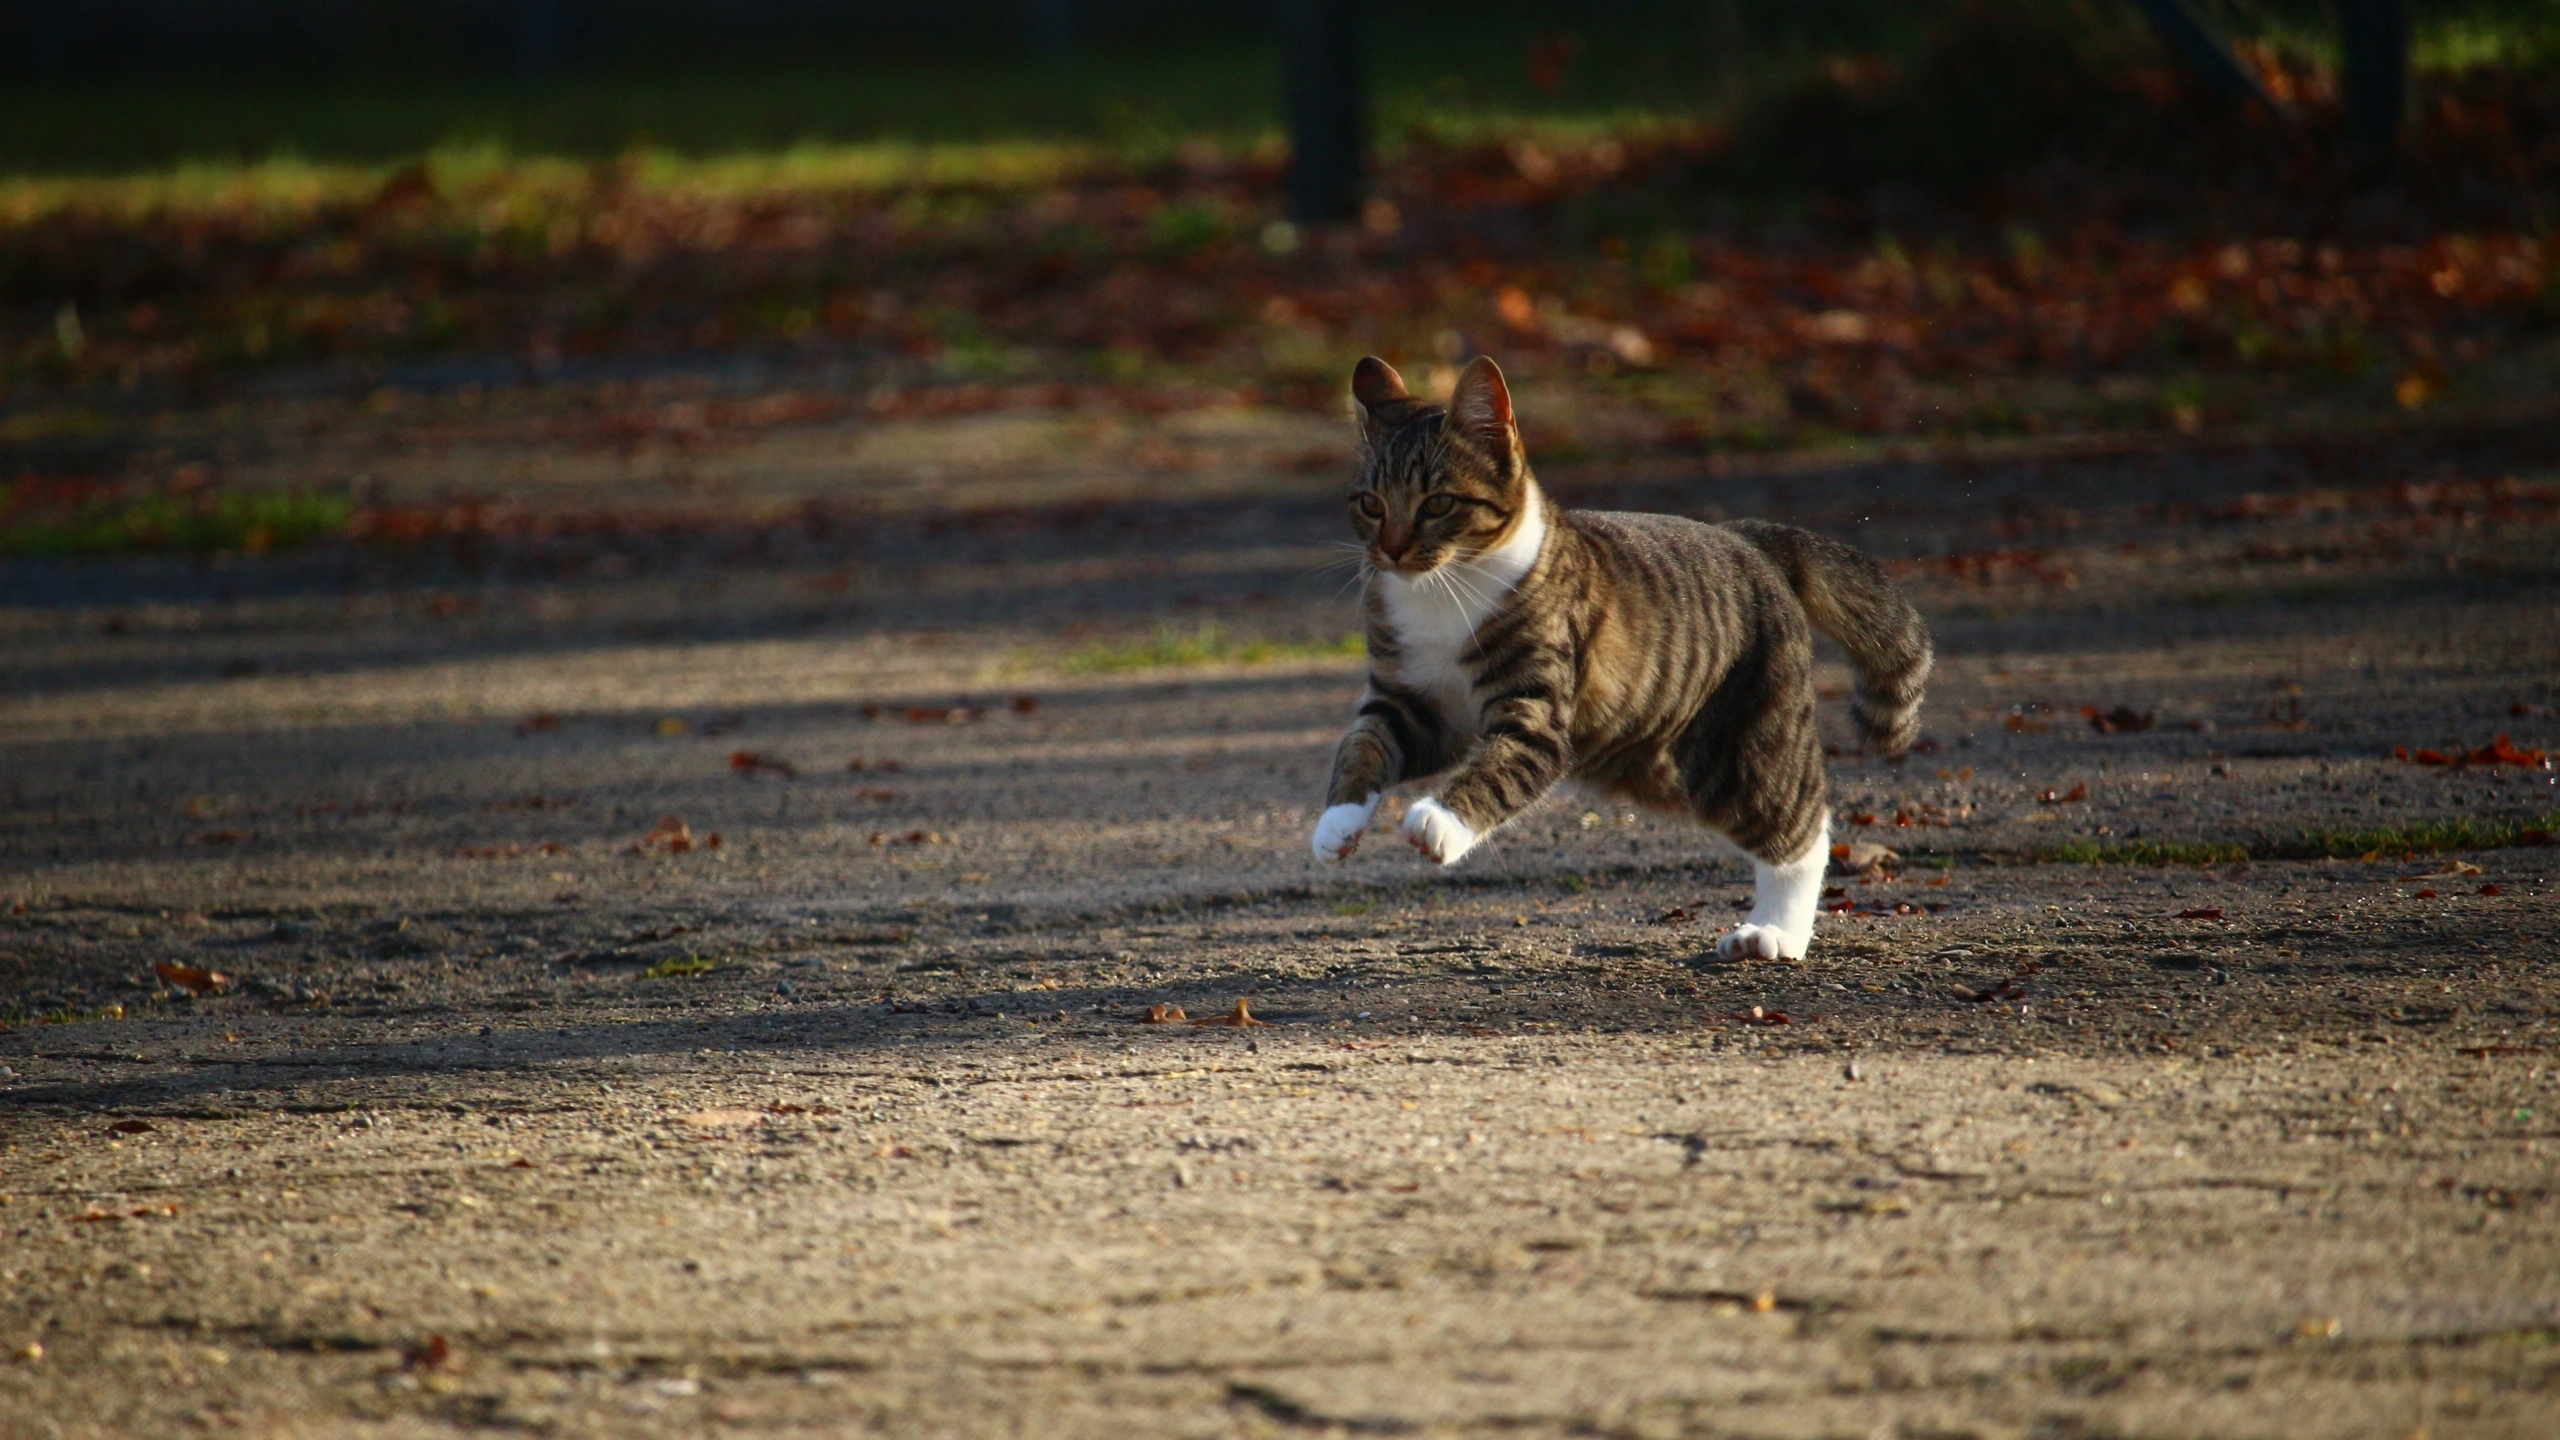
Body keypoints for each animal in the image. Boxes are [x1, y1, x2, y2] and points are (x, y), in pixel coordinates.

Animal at [1310, 351, 1925, 953]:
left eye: (1438, 503)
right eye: (1370, 504)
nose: (1391, 551)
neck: (1440, 594)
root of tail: (1750, 539)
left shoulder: (1536, 711)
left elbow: (1500, 765)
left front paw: (1437, 821)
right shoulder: (1415, 706)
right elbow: (1364, 747)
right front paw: (1336, 824)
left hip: (1741, 748)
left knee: (1802, 825)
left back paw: (1775, 932)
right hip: (1653, 760)